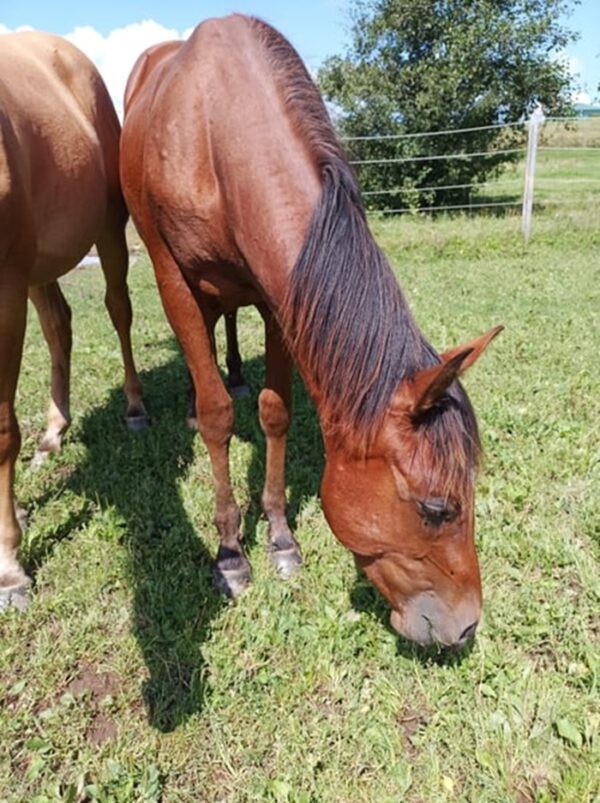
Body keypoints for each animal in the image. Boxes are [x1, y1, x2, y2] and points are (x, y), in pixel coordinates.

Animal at [0, 32, 148, 611]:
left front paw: (9, 567)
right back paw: (52, 435)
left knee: (118, 309)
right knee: (58, 325)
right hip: (36, 266)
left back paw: (134, 407)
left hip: (104, 231)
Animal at [121, 15, 502, 648]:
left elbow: (275, 411)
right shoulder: (173, 280)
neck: (217, 127)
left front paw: (279, 537)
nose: (465, 626)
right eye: (435, 508)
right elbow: (221, 416)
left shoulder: (284, 298)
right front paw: (231, 552)